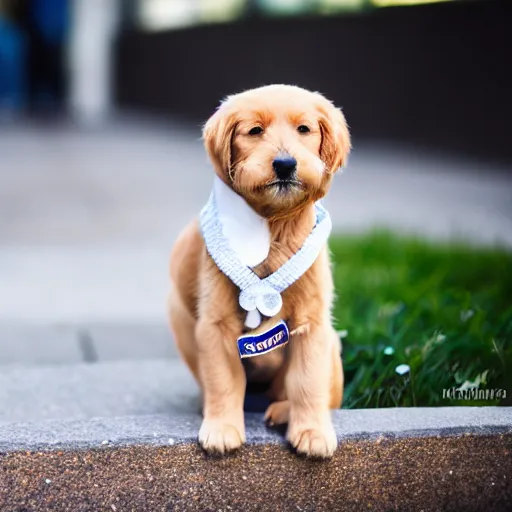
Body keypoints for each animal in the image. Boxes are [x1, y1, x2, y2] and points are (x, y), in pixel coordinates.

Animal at [170, 85, 350, 460]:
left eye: (304, 129)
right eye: (254, 131)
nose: (285, 164)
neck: (273, 227)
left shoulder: (313, 325)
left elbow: (307, 381)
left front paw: (312, 431)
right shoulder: (215, 325)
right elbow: (224, 380)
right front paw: (222, 427)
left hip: (333, 348)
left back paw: (283, 411)